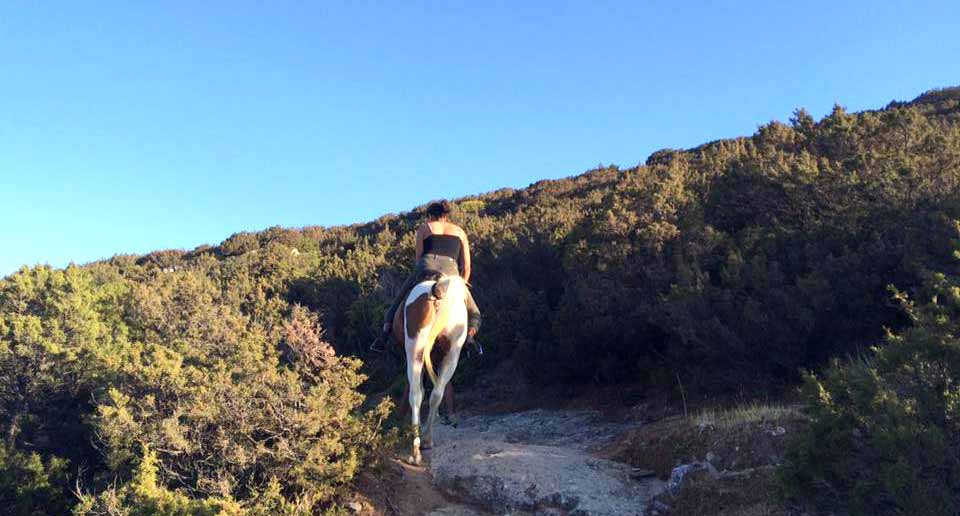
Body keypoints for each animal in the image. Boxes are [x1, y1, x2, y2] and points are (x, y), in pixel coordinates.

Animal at [391, 274, 469, 465]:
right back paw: (426, 439)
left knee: (416, 394)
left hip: (415, 349)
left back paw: (415, 451)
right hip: (452, 354)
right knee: (436, 394)